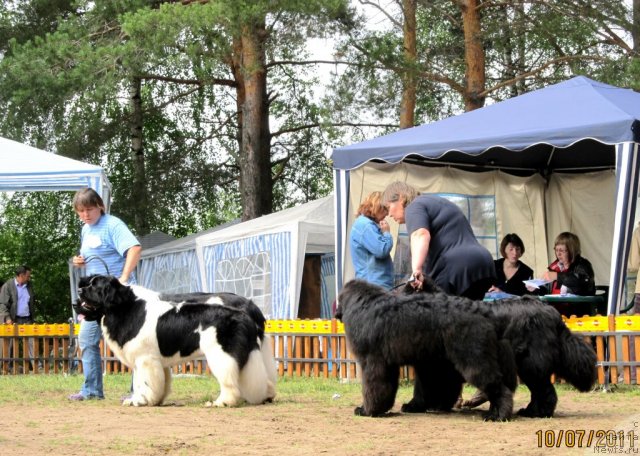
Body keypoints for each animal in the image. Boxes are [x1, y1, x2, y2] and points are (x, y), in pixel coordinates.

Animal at [74, 274, 276, 406]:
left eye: (94, 287)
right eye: (87, 284)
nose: (78, 291)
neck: (122, 308)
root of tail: (247, 312)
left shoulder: (145, 359)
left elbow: (142, 382)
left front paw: (140, 400)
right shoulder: (154, 361)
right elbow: (154, 382)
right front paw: (151, 400)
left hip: (222, 355)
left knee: (229, 381)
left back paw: (222, 402)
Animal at [332, 278, 516, 420]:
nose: (336, 313)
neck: (363, 304)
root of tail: (483, 310)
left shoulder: (373, 362)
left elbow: (372, 388)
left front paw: (367, 410)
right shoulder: (391, 365)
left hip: (473, 357)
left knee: (496, 385)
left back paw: (497, 414)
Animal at [404, 276, 600, 418]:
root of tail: (552, 312)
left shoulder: (430, 365)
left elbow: (422, 388)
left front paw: (414, 405)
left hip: (531, 364)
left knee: (544, 391)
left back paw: (538, 413)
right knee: (539, 391)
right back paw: (530, 411)